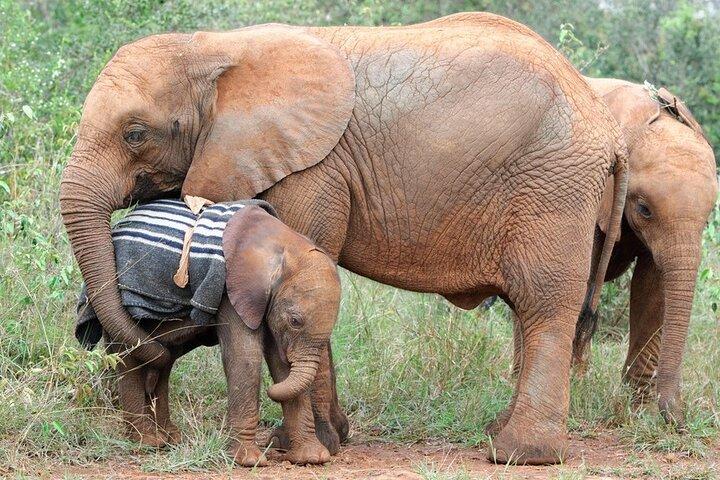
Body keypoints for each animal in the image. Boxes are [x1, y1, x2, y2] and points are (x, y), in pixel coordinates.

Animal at [76, 205, 342, 465]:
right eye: (295, 321)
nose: (270, 393)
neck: (285, 243)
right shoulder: (233, 289)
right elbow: (245, 356)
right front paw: (249, 461)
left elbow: (281, 364)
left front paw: (312, 458)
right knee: (131, 358)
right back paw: (148, 442)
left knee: (163, 362)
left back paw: (169, 437)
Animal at [566, 79, 717, 425]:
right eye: (644, 209)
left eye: (708, 216)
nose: (680, 416)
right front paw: (572, 391)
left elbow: (653, 290)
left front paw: (642, 410)